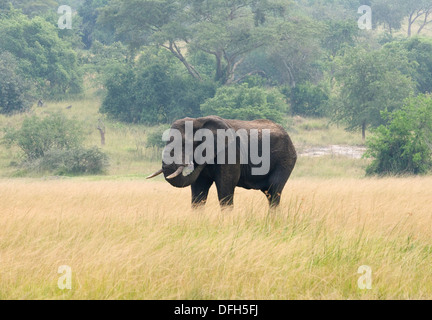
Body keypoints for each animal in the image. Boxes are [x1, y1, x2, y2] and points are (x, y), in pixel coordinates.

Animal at [148, 115, 296, 208]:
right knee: (269, 193)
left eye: (184, 144)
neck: (198, 121)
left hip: (285, 159)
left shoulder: (230, 151)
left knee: (274, 191)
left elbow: (225, 185)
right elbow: (199, 189)